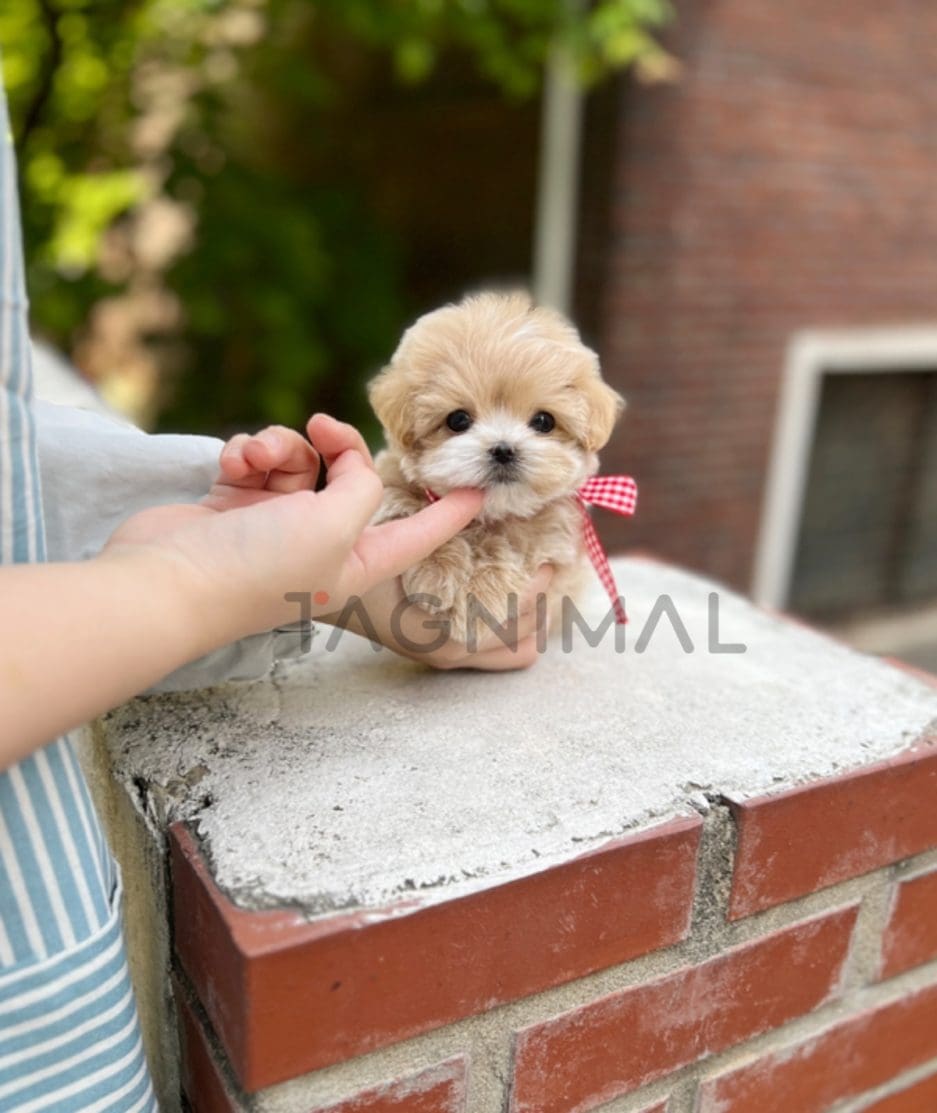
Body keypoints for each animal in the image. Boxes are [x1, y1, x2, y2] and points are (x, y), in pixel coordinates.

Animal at [369, 291, 623, 645]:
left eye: (543, 421)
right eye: (458, 420)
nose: (503, 450)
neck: (491, 512)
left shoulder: (553, 540)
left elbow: (513, 545)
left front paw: (478, 599)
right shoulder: (390, 487)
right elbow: (408, 510)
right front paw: (436, 565)